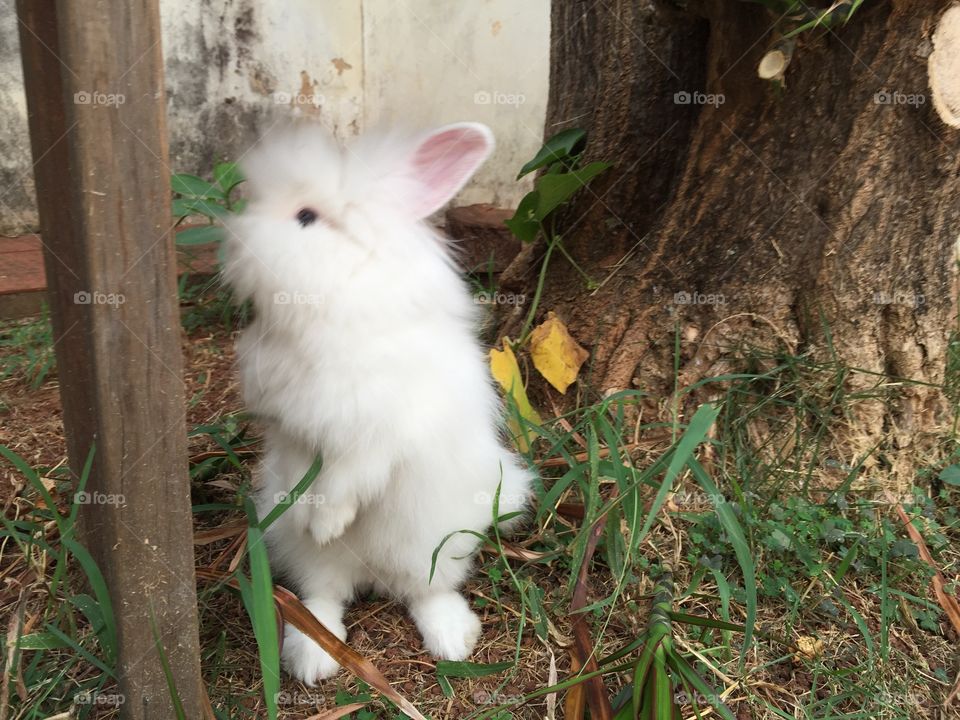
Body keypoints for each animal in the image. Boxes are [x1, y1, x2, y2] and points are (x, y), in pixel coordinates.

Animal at [225, 124, 536, 688]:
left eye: (306, 216)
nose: (235, 242)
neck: (336, 302)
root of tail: (371, 575)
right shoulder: (292, 431)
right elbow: (303, 469)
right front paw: (309, 517)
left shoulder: (379, 436)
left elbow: (349, 480)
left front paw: (327, 522)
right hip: (308, 558)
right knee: (323, 596)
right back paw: (313, 657)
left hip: (434, 544)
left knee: (427, 591)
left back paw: (453, 639)